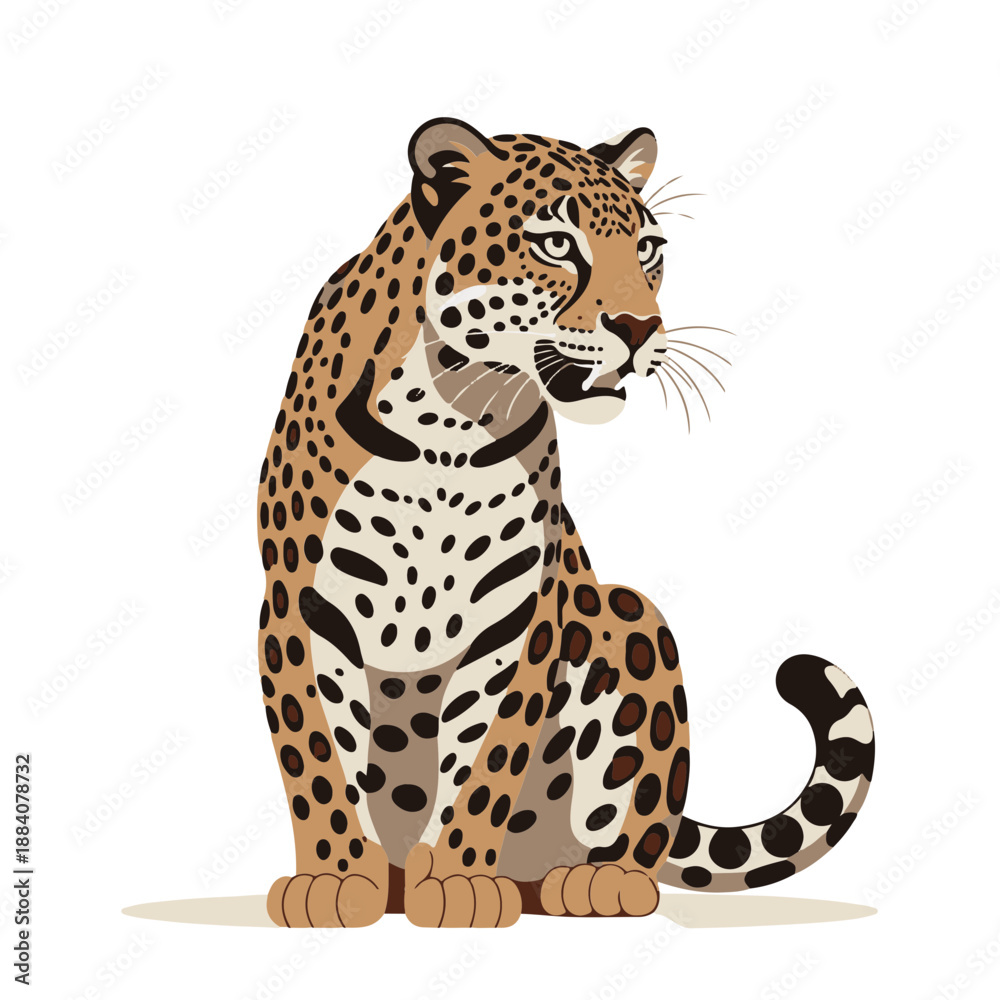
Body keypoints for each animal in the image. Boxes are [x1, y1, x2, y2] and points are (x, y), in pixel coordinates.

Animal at [256, 118, 875, 928]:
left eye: (648, 249)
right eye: (556, 243)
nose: (640, 327)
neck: (448, 422)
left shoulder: (518, 617)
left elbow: (486, 763)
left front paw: (456, 882)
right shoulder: (301, 609)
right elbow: (319, 759)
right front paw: (333, 880)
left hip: (630, 617)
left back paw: (590, 880)